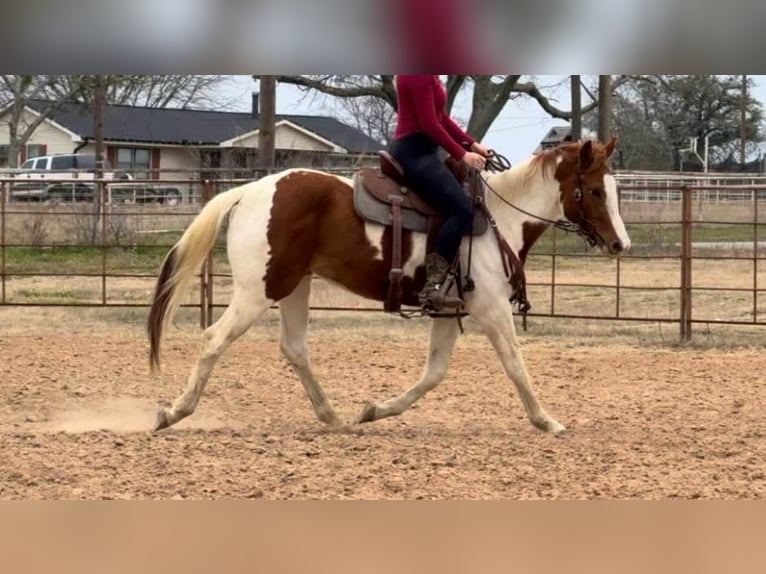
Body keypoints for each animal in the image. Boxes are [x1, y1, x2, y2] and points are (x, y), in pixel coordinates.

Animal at [147, 137, 629, 434]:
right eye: (594, 190)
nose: (620, 244)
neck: (498, 217)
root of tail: (249, 191)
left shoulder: (449, 308)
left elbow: (434, 373)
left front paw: (375, 410)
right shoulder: (491, 307)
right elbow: (515, 364)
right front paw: (547, 420)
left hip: (293, 287)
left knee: (295, 348)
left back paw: (333, 416)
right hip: (257, 291)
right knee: (214, 338)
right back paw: (174, 412)